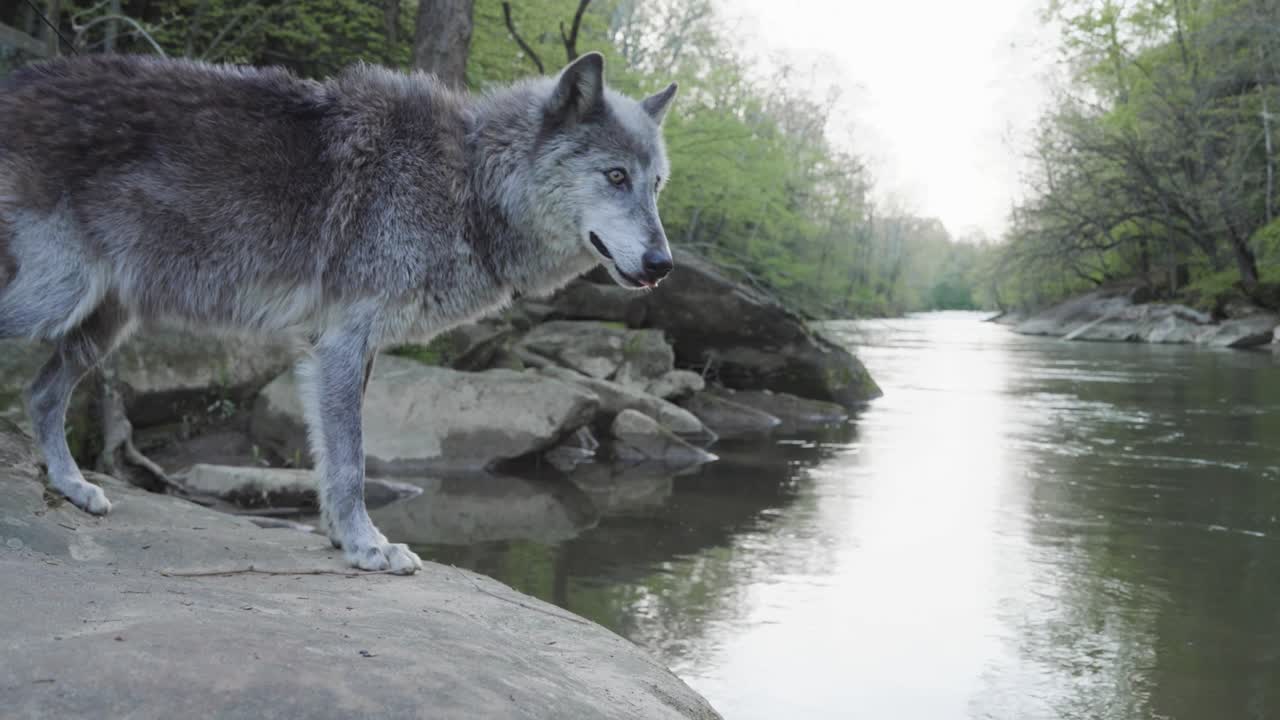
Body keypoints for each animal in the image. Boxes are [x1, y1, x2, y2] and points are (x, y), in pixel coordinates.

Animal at [0, 51, 677, 574]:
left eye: (657, 186)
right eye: (615, 176)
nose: (663, 262)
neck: (468, 180)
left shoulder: (351, 349)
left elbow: (332, 458)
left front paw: (340, 537)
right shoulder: (343, 344)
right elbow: (351, 461)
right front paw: (367, 547)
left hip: (103, 322)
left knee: (40, 392)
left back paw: (72, 487)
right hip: (56, 298)